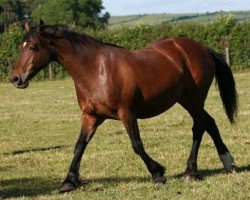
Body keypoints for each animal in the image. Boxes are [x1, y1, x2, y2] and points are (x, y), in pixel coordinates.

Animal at [10, 20, 237, 192]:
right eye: (21, 46)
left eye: (33, 47)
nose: (16, 78)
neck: (96, 69)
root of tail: (200, 48)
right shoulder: (90, 116)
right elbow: (79, 146)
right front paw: (69, 181)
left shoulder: (127, 113)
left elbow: (136, 144)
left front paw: (157, 173)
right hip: (185, 100)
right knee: (209, 122)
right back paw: (228, 163)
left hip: (195, 98)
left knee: (199, 127)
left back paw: (191, 171)